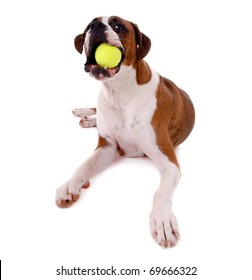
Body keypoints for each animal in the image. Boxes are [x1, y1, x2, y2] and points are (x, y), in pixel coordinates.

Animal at [56, 15, 196, 247]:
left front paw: (162, 220)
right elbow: (84, 166)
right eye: (88, 26)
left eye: (118, 26)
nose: (96, 26)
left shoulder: (169, 162)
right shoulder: (108, 147)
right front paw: (70, 186)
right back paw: (87, 115)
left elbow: (160, 193)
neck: (119, 91)